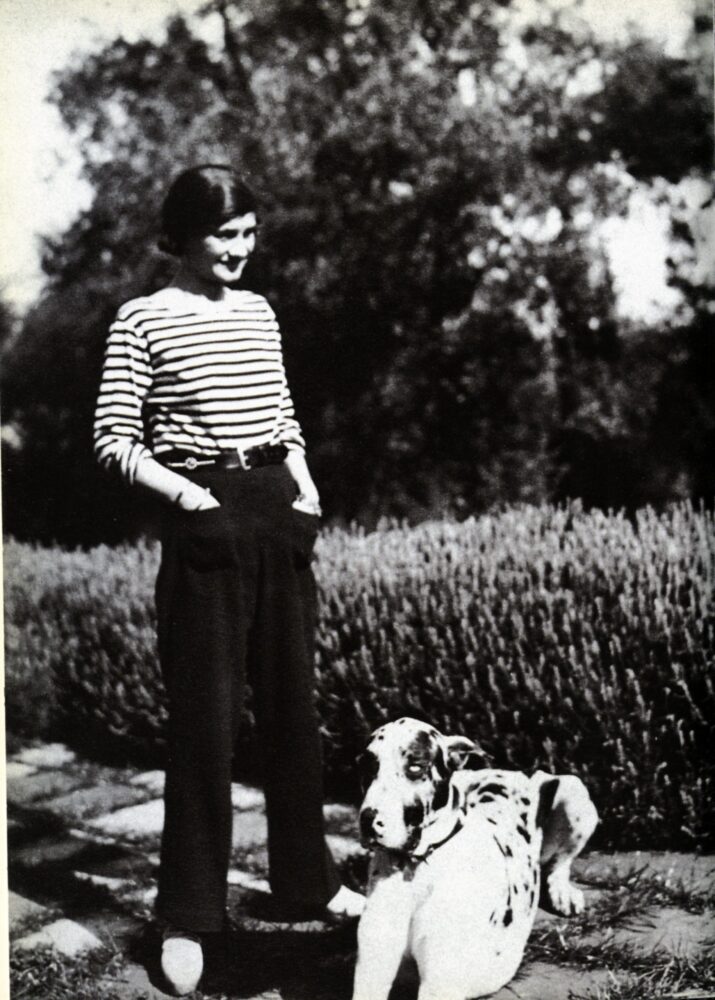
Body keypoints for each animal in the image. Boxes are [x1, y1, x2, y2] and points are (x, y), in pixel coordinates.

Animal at [354, 720, 600, 1000]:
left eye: (416, 766)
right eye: (367, 766)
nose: (368, 819)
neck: (417, 869)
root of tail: (513, 772)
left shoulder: (439, 984)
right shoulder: (372, 970)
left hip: (574, 790)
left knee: (559, 863)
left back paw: (563, 893)